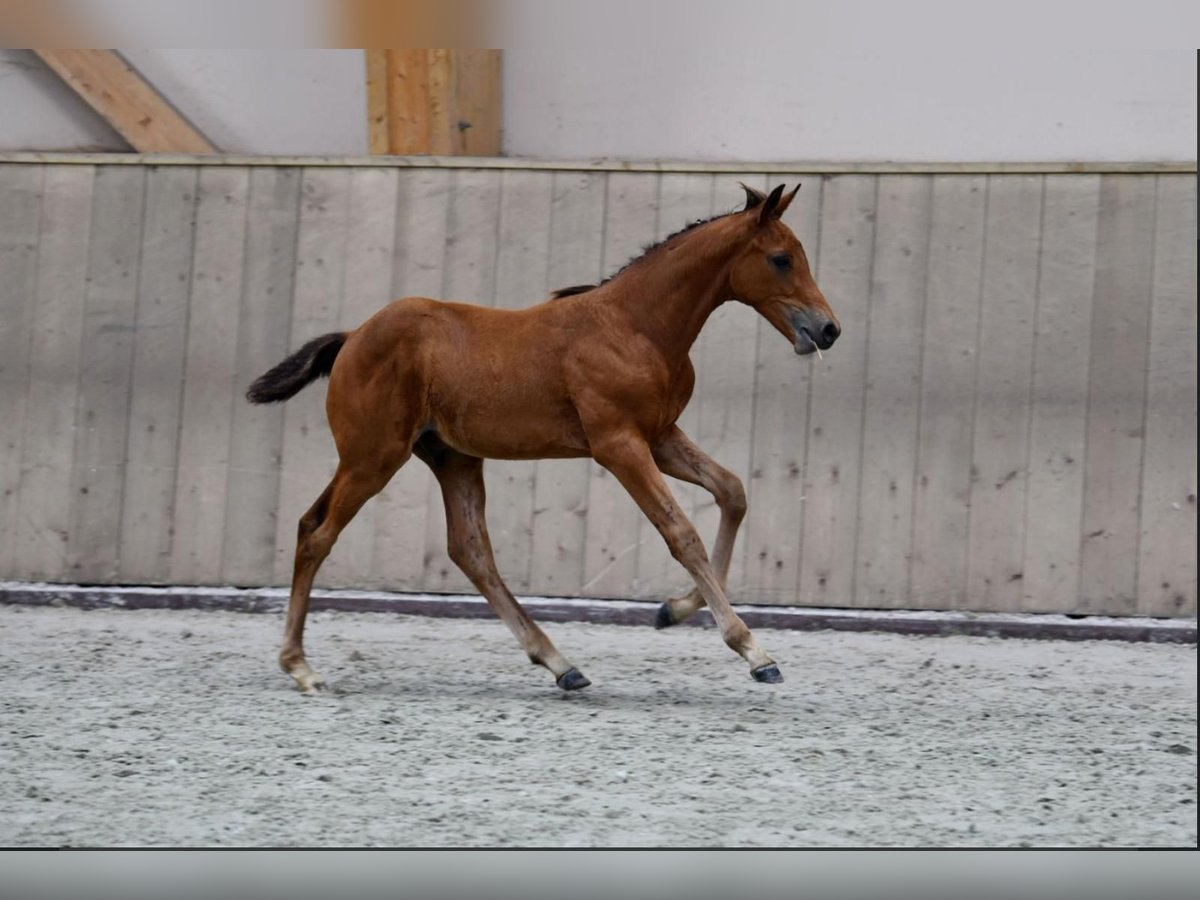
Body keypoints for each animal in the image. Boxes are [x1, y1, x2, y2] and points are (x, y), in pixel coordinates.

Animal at [247, 180, 840, 696]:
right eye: (781, 258)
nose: (828, 329)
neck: (637, 326)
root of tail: (351, 338)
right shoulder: (619, 446)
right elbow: (681, 533)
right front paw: (754, 651)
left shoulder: (660, 436)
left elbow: (732, 492)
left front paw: (673, 611)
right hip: (373, 456)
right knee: (319, 535)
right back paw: (300, 667)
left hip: (448, 457)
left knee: (467, 550)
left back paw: (561, 664)